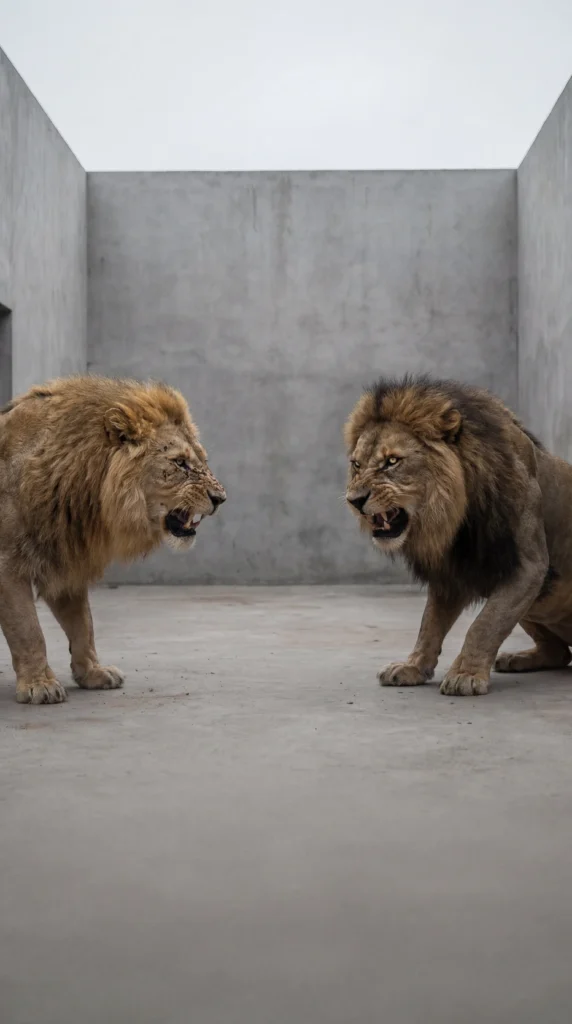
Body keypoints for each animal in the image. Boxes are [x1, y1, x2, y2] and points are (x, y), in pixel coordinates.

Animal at [0, 376, 226, 704]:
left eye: (201, 460)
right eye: (180, 463)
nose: (221, 499)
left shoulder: (67, 558)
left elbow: (83, 624)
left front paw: (93, 673)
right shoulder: (8, 565)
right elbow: (28, 629)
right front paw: (40, 685)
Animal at [345, 374, 572, 696]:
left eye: (392, 461)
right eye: (357, 464)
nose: (354, 500)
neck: (454, 516)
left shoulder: (529, 567)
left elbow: (485, 624)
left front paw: (465, 674)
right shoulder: (450, 572)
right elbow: (429, 624)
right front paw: (412, 667)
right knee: (558, 653)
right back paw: (517, 658)